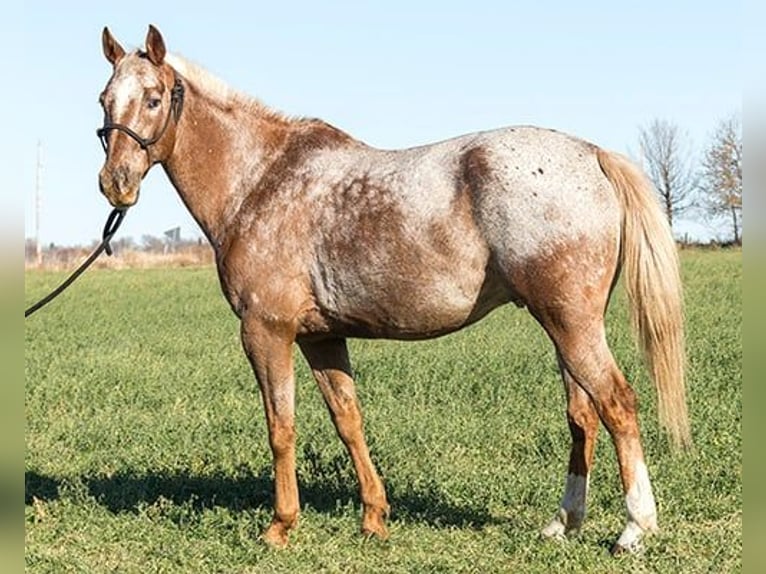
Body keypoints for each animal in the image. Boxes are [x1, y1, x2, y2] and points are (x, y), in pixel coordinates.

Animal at [96, 25, 689, 554]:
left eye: (153, 99)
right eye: (104, 100)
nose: (115, 183)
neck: (261, 180)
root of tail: (592, 154)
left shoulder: (266, 332)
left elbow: (280, 426)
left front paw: (281, 526)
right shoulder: (320, 338)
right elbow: (348, 421)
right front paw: (374, 518)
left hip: (571, 323)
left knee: (617, 404)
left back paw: (634, 529)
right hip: (565, 326)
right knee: (582, 415)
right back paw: (563, 523)